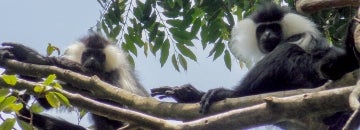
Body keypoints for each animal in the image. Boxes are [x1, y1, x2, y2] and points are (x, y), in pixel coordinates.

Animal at [1, 33, 148, 130]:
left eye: (99, 56)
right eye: (87, 54)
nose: (92, 60)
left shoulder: (115, 75)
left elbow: (117, 106)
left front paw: (35, 57)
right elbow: (47, 101)